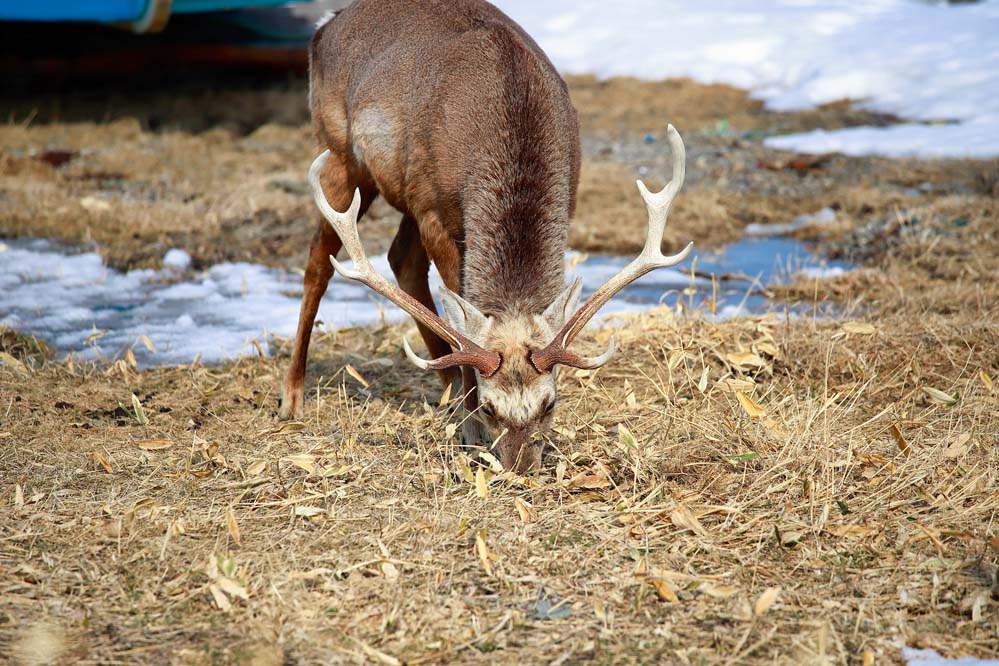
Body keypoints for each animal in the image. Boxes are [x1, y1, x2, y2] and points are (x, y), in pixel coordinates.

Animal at [278, 0, 692, 472]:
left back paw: (444, 383)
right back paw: (292, 397)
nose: (520, 468)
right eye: (493, 409)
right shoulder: (435, 212)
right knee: (319, 261)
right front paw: (469, 424)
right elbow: (461, 309)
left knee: (401, 259)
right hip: (340, 154)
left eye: (550, 403)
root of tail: (325, 25)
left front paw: (460, 401)